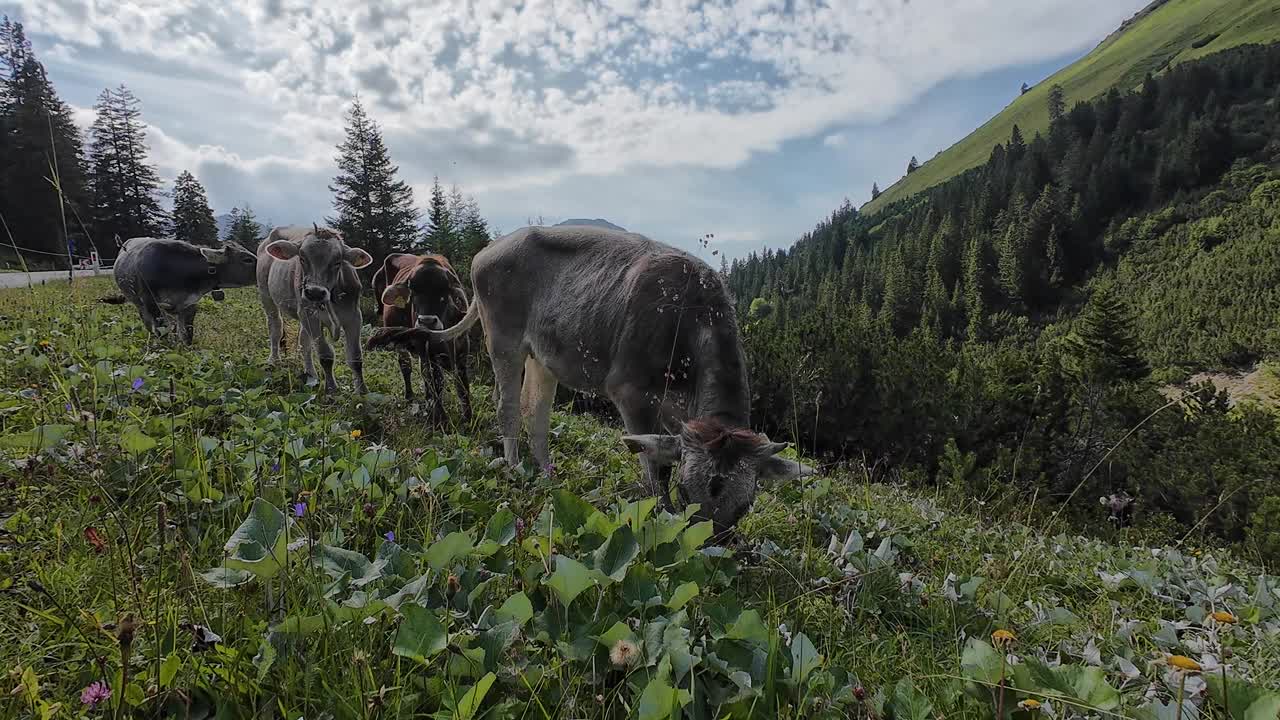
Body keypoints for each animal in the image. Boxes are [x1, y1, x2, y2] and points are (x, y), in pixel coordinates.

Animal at [107, 237, 257, 343]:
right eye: (247, 259)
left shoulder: (190, 303)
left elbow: (187, 333)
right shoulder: (150, 301)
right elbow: (161, 330)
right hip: (139, 302)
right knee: (149, 323)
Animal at [256, 224, 373, 392]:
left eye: (337, 262)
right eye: (302, 258)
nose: (315, 292)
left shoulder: (354, 316)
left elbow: (355, 357)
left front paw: (362, 391)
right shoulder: (311, 316)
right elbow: (325, 355)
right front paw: (331, 389)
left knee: (304, 341)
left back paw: (311, 375)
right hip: (267, 295)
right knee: (275, 327)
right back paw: (274, 360)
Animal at [366, 252, 471, 420]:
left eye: (444, 290)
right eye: (413, 291)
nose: (426, 321)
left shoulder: (462, 348)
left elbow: (462, 383)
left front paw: (468, 417)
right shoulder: (428, 351)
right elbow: (436, 380)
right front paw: (440, 417)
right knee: (406, 367)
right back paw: (411, 396)